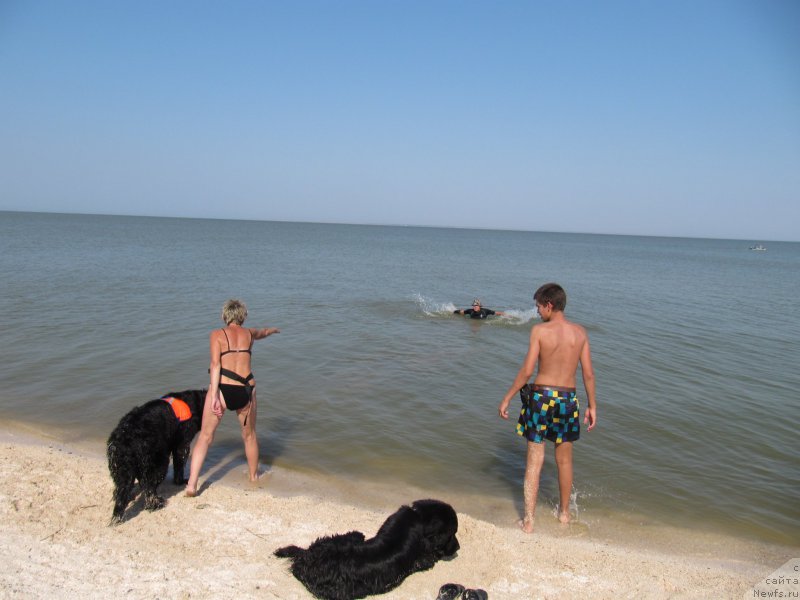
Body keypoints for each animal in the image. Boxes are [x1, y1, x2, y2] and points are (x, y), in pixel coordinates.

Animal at [106, 390, 206, 524]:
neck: (193, 402)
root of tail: (123, 440)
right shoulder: (182, 444)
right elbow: (179, 465)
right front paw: (181, 481)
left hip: (121, 469)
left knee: (121, 491)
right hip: (157, 463)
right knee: (149, 488)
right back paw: (156, 504)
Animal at [276, 496, 460, 600]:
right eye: (451, 534)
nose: (458, 548)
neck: (418, 518)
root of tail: (307, 559)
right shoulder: (423, 560)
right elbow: (429, 559)